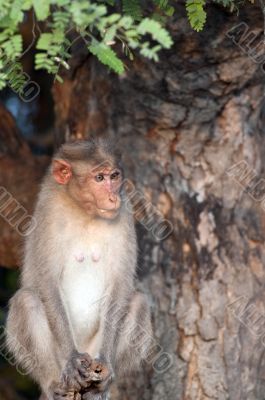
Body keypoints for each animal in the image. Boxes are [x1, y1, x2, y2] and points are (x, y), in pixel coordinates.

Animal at [5, 138, 151, 400]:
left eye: (114, 176)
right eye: (99, 178)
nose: (112, 198)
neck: (83, 210)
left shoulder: (125, 212)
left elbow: (121, 283)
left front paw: (107, 364)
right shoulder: (48, 211)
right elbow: (47, 282)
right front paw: (72, 361)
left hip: (92, 352)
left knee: (138, 302)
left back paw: (100, 388)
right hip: (61, 360)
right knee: (26, 300)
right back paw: (52, 384)